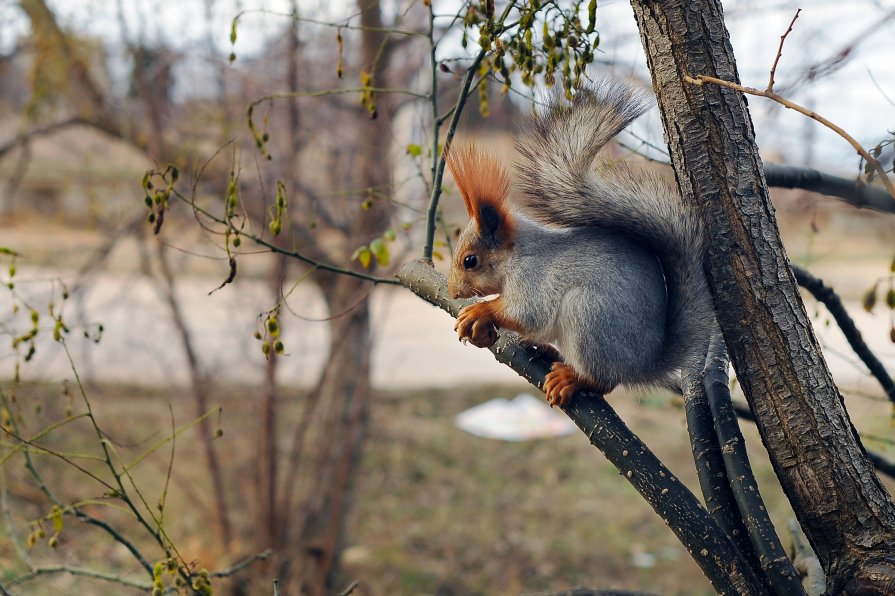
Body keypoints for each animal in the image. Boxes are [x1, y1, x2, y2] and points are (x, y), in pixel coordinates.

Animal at [446, 81, 712, 408]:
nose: (452, 292)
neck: (517, 254)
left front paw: (479, 311)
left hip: (587, 314)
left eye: (470, 260)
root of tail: (645, 365)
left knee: (604, 381)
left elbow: (527, 313)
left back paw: (572, 378)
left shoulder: (533, 279)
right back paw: (547, 350)